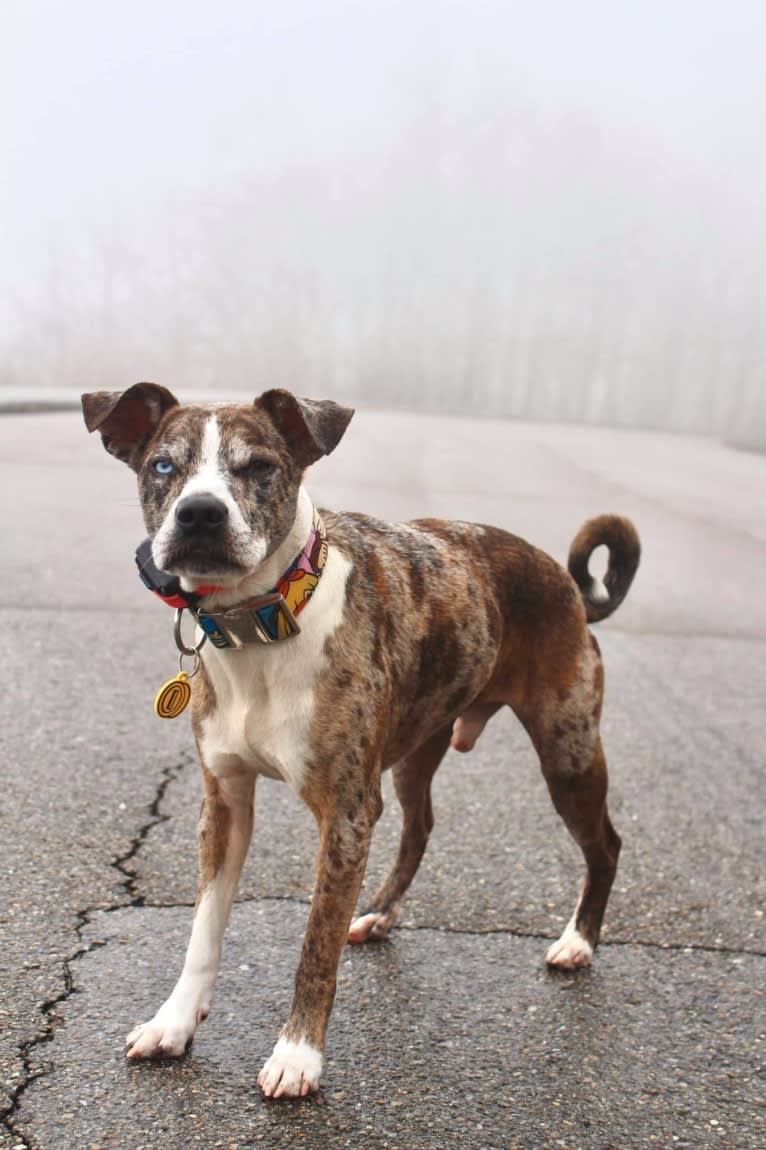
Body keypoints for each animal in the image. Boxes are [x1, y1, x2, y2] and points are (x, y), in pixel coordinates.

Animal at [80, 384, 639, 1094]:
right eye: (162, 465)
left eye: (259, 466)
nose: (200, 513)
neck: (262, 623)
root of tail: (566, 584)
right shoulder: (224, 804)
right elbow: (203, 930)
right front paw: (174, 1022)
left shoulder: (344, 814)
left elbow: (315, 946)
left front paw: (298, 1054)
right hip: (419, 746)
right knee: (420, 825)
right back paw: (378, 913)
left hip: (567, 750)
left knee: (605, 845)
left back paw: (579, 941)